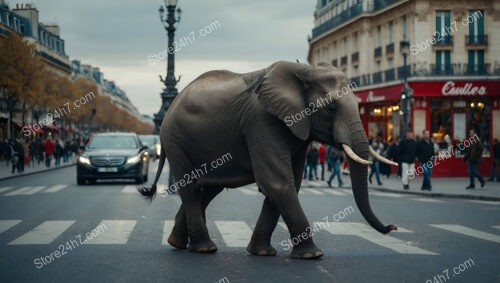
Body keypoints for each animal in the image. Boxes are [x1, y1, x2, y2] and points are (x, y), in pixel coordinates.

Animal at [141, 60, 398, 260]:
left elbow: (290, 182)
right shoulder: (262, 121)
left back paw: (178, 243)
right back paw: (204, 248)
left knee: (208, 189)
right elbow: (277, 181)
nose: (392, 227)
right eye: (331, 108)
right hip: (176, 139)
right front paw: (312, 255)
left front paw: (262, 253)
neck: (304, 70)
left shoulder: (297, 131)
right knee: (191, 188)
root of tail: (170, 105)